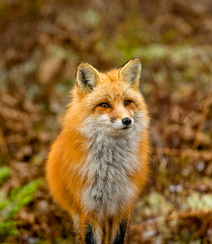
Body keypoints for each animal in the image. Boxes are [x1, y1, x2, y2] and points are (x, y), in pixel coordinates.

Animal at [45, 56, 150, 244]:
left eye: (127, 102)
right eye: (104, 105)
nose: (127, 120)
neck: (110, 172)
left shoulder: (123, 207)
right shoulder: (88, 210)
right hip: (77, 215)